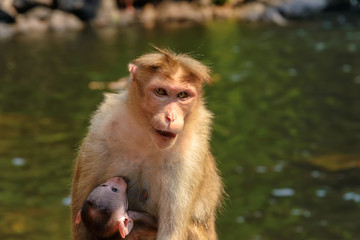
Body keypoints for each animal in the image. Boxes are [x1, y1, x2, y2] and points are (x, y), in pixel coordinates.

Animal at [71, 47, 224, 240]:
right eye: (160, 91)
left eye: (182, 95)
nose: (170, 117)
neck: (147, 136)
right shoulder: (101, 129)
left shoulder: (190, 153)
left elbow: (171, 230)